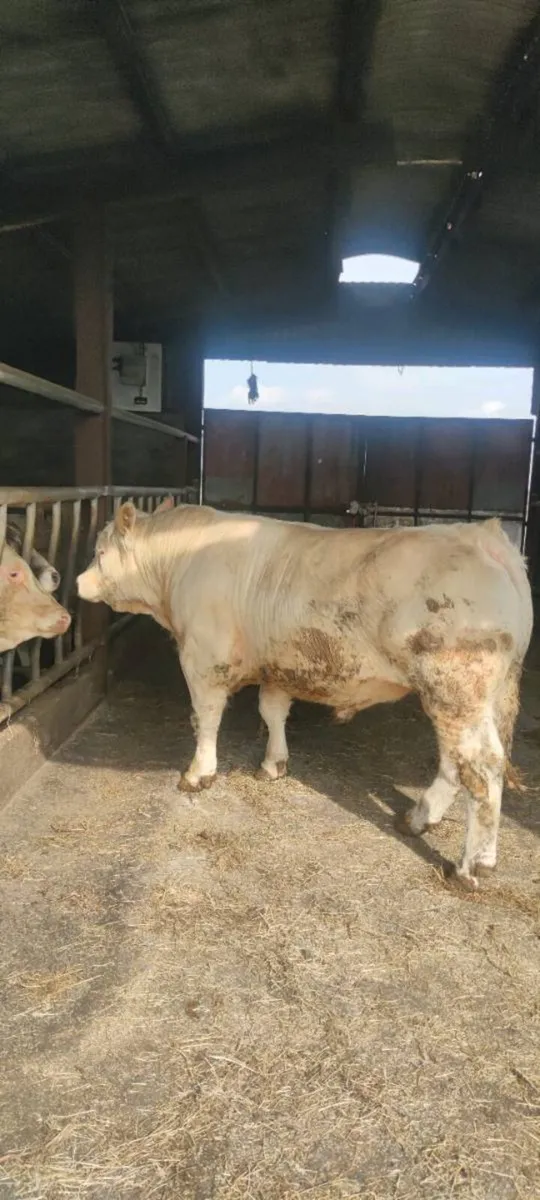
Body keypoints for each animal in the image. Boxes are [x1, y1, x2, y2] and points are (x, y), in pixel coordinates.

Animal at [76, 502, 533, 890]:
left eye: (100, 552)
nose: (79, 581)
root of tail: (484, 535)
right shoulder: (279, 663)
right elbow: (273, 711)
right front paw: (274, 764)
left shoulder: (204, 659)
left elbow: (205, 717)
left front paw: (198, 773)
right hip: (478, 697)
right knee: (459, 763)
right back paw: (419, 818)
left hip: (455, 689)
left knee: (481, 766)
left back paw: (472, 866)